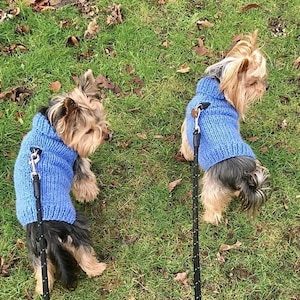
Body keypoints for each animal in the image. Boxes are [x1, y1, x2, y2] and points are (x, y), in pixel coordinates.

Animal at [14, 69, 111, 294]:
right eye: (89, 131)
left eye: (100, 118)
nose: (107, 135)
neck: (51, 126)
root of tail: (48, 232)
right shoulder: (76, 162)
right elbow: (84, 178)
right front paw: (90, 193)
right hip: (76, 229)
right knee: (84, 252)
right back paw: (98, 268)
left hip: (35, 249)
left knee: (42, 270)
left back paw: (42, 289)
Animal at [180, 31, 270, 226]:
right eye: (253, 82)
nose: (266, 87)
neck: (215, 91)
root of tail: (242, 175)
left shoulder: (189, 127)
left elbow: (187, 146)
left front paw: (187, 156)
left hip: (213, 187)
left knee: (212, 205)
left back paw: (208, 219)